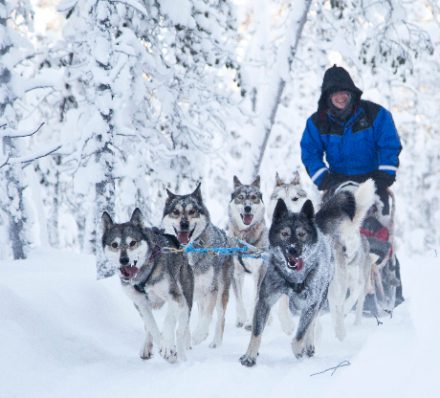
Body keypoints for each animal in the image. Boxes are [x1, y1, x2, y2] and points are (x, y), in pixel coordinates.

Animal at [103, 210, 194, 362]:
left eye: (132, 243)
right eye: (114, 244)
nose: (124, 260)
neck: (143, 277)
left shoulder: (176, 297)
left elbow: (169, 320)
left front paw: (167, 347)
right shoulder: (141, 303)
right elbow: (151, 326)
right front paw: (163, 346)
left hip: (186, 302)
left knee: (180, 331)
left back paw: (181, 356)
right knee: (148, 327)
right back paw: (147, 346)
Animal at [162, 183, 234, 348]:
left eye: (192, 211)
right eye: (175, 212)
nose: (184, 224)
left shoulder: (212, 289)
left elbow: (207, 316)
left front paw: (199, 335)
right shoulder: (184, 293)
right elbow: (186, 322)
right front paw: (186, 341)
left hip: (221, 291)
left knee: (220, 317)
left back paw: (215, 342)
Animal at [227, 176, 268, 330]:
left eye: (254, 197)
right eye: (241, 197)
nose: (247, 208)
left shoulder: (260, 273)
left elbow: (256, 300)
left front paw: (251, 322)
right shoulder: (235, 273)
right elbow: (239, 299)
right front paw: (242, 318)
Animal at [239, 193, 356, 366]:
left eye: (301, 234)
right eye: (284, 234)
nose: (293, 250)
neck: (292, 277)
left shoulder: (311, 302)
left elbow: (301, 333)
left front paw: (299, 350)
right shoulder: (265, 300)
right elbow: (256, 332)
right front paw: (250, 356)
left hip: (320, 298)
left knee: (312, 321)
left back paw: (308, 345)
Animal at [324, 182, 376, 340]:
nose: (344, 250)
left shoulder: (357, 284)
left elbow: (349, 301)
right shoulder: (334, 288)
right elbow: (337, 306)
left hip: (362, 286)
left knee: (358, 306)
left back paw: (355, 324)